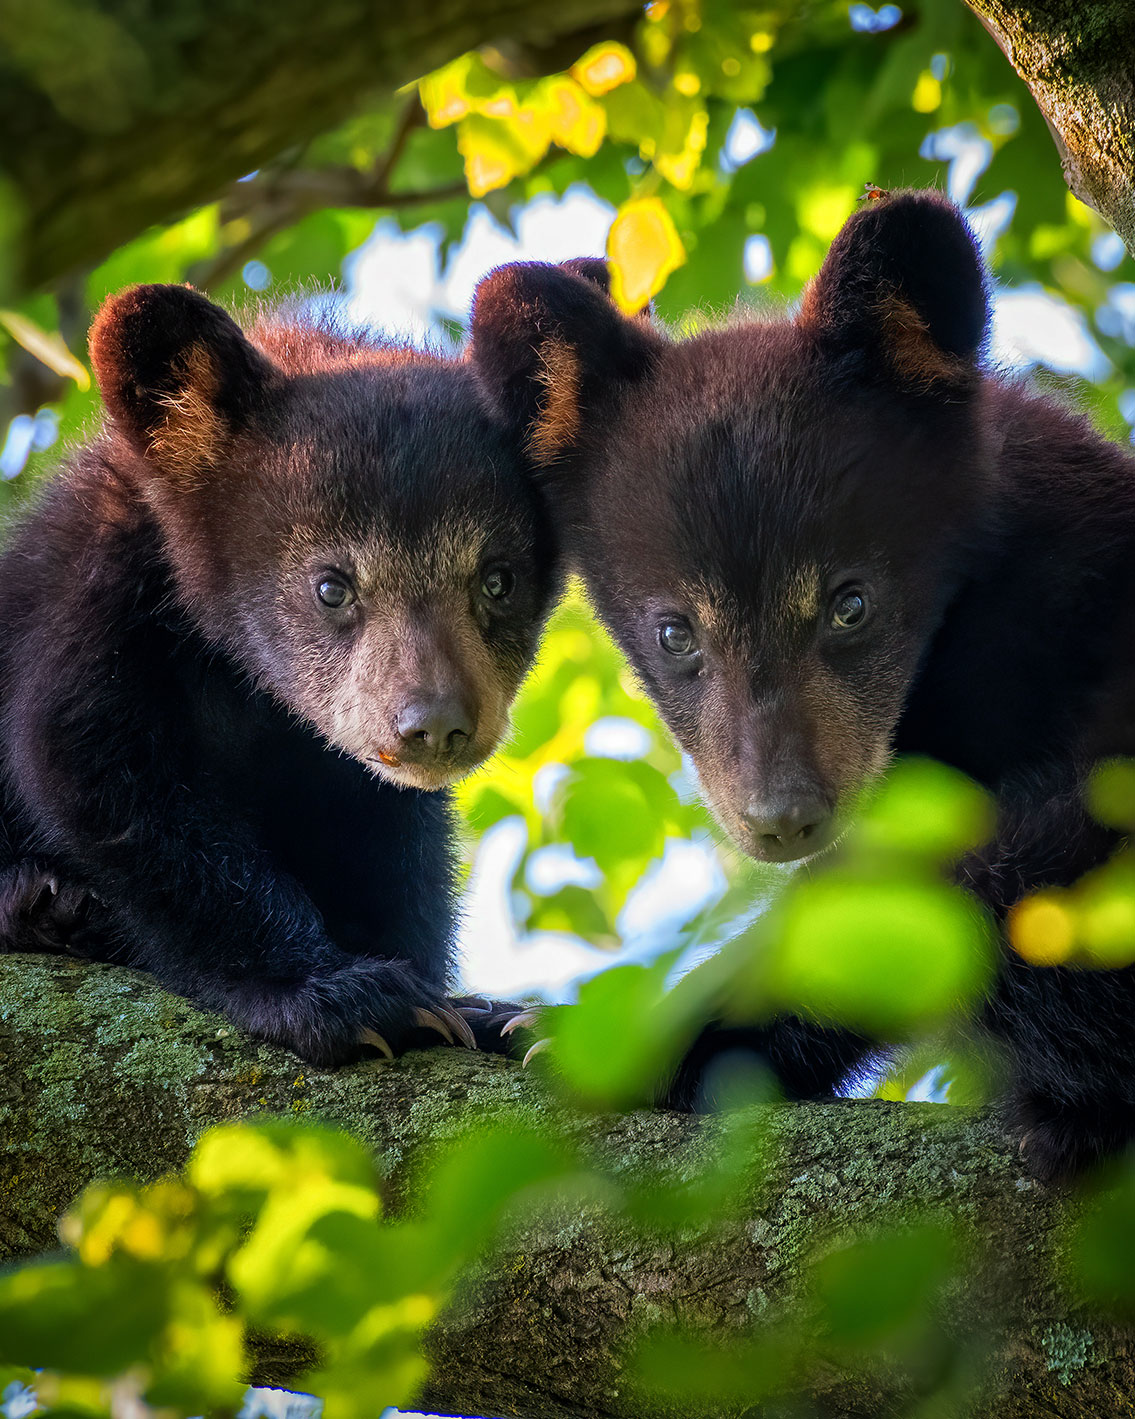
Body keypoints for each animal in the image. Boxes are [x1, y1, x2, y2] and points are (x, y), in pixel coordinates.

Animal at [0, 282, 562, 1065]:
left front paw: (483, 1014)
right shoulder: (91, 600)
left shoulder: (360, 785)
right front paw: (341, 994)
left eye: (498, 579)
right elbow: (101, 776)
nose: (434, 723)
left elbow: (395, 860)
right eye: (331, 586)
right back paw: (45, 903)